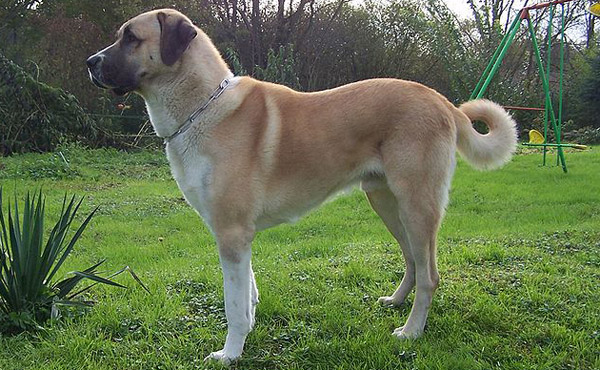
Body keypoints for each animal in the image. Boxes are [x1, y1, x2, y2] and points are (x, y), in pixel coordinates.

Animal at [86, 8, 516, 364]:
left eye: (131, 37)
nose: (90, 63)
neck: (202, 107)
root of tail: (444, 102)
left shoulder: (231, 233)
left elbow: (232, 304)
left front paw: (229, 353)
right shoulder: (238, 237)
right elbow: (248, 294)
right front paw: (247, 333)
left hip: (417, 205)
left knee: (429, 276)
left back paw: (410, 332)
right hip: (386, 202)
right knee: (412, 260)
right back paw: (395, 302)